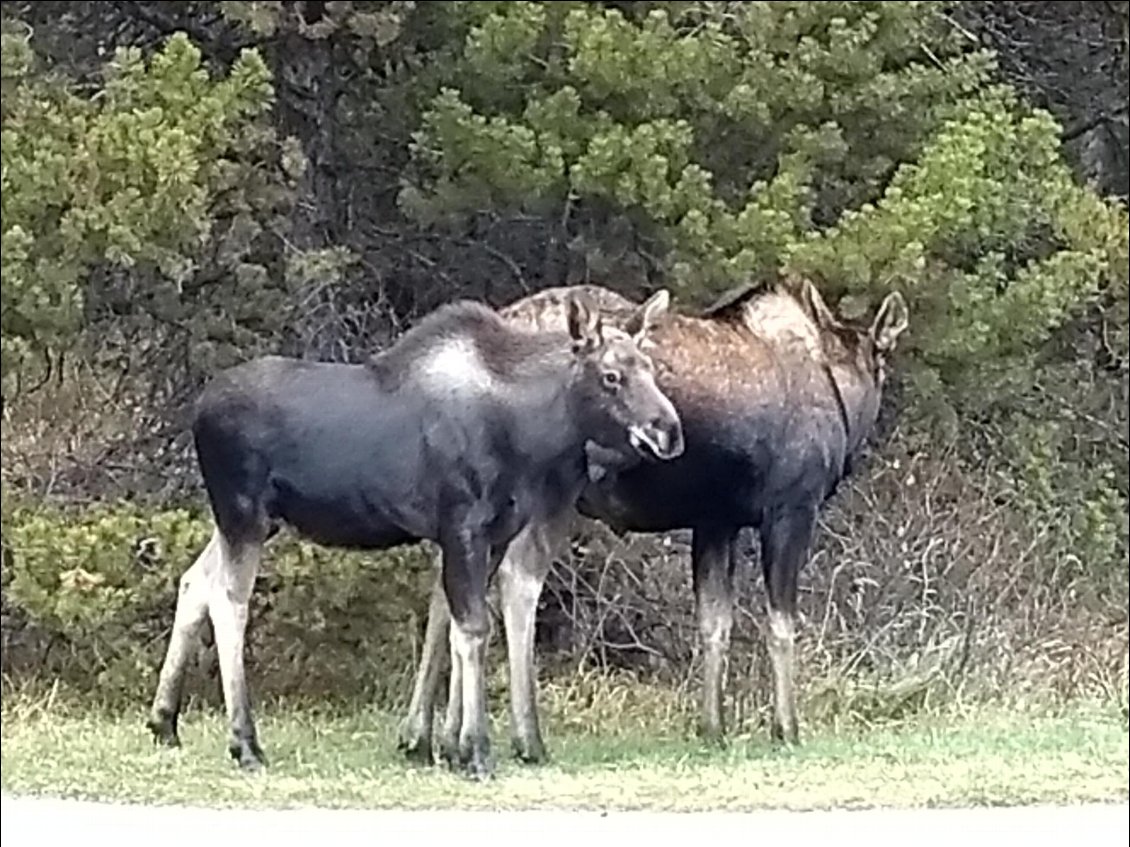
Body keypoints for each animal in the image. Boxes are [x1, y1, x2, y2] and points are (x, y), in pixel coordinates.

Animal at [145, 291, 682, 781]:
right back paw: (245, 743)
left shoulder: (492, 536)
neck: (527, 434)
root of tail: (196, 411)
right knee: (229, 602)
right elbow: (473, 629)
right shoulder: (463, 526)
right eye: (611, 377)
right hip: (243, 514)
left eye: (651, 369)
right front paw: (474, 750)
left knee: (194, 580)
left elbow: (458, 625)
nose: (669, 431)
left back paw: (164, 721)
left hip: (248, 521)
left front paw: (448, 745)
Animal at [397, 275, 908, 767]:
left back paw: (427, 736)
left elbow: (714, 624)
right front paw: (786, 728)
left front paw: (713, 727)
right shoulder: (790, 509)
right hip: (547, 492)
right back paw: (523, 738)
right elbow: (780, 625)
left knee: (451, 589)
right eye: (882, 362)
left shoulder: (716, 521)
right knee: (517, 583)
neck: (843, 393)